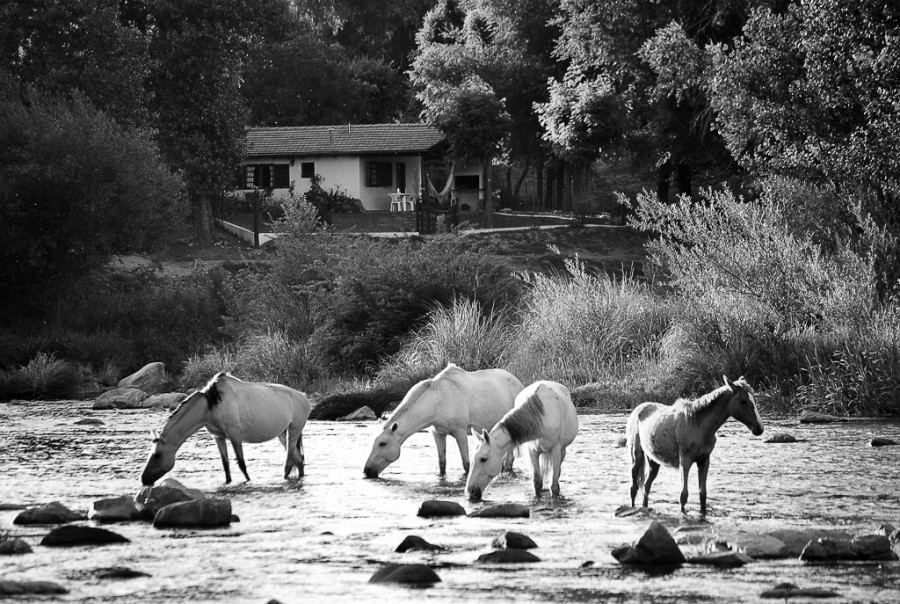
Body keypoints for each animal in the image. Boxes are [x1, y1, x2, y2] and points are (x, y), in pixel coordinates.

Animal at [139, 372, 312, 486]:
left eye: (157, 454)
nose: (144, 479)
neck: (211, 406)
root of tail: (305, 397)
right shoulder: (219, 437)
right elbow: (226, 465)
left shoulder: (235, 437)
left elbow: (241, 464)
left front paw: (248, 481)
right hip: (283, 434)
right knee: (298, 460)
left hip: (294, 430)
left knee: (290, 461)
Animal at [362, 364, 524, 482]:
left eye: (382, 443)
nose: (367, 471)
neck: (439, 401)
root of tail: (517, 382)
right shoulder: (438, 434)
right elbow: (442, 464)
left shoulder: (460, 433)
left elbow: (466, 464)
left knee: (510, 459)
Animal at [624, 378, 768, 516]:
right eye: (743, 401)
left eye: (754, 400)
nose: (759, 428)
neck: (699, 425)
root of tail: (637, 410)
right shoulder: (685, 461)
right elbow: (683, 495)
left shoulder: (704, 460)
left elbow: (702, 495)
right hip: (636, 454)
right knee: (633, 488)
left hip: (653, 461)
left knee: (646, 486)